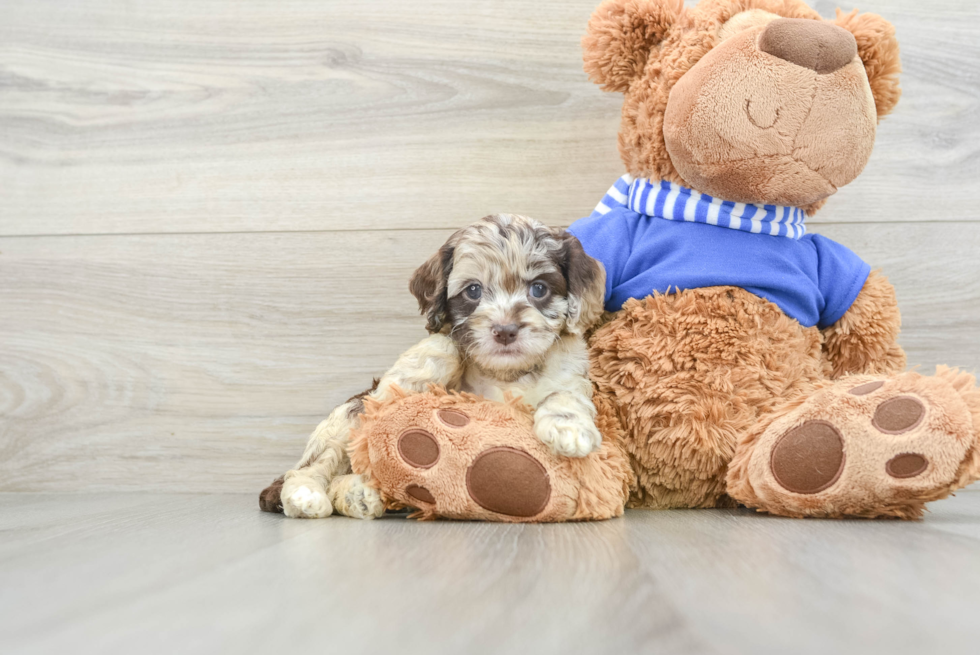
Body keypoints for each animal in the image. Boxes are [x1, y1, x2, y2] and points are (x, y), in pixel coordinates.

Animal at [270, 214, 604, 516]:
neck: (506, 374)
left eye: (539, 289)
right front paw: (397, 393)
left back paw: (358, 496)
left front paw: (568, 427)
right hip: (340, 422)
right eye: (473, 290)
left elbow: (565, 393)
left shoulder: (571, 369)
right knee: (313, 465)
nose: (505, 330)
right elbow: (441, 348)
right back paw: (307, 494)